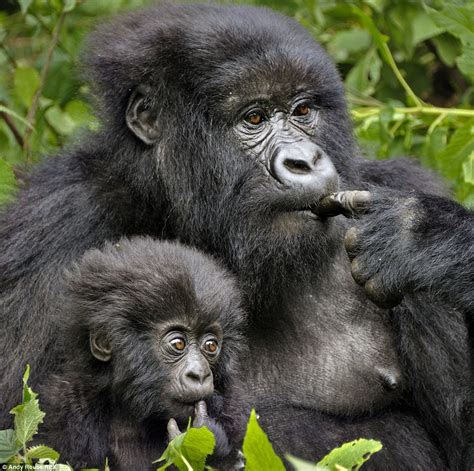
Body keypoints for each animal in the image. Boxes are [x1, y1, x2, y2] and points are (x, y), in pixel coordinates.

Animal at [37, 238, 246, 470]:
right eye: (178, 343)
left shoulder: (233, 406)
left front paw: (200, 441)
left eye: (210, 346)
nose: (200, 374)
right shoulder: (63, 404)